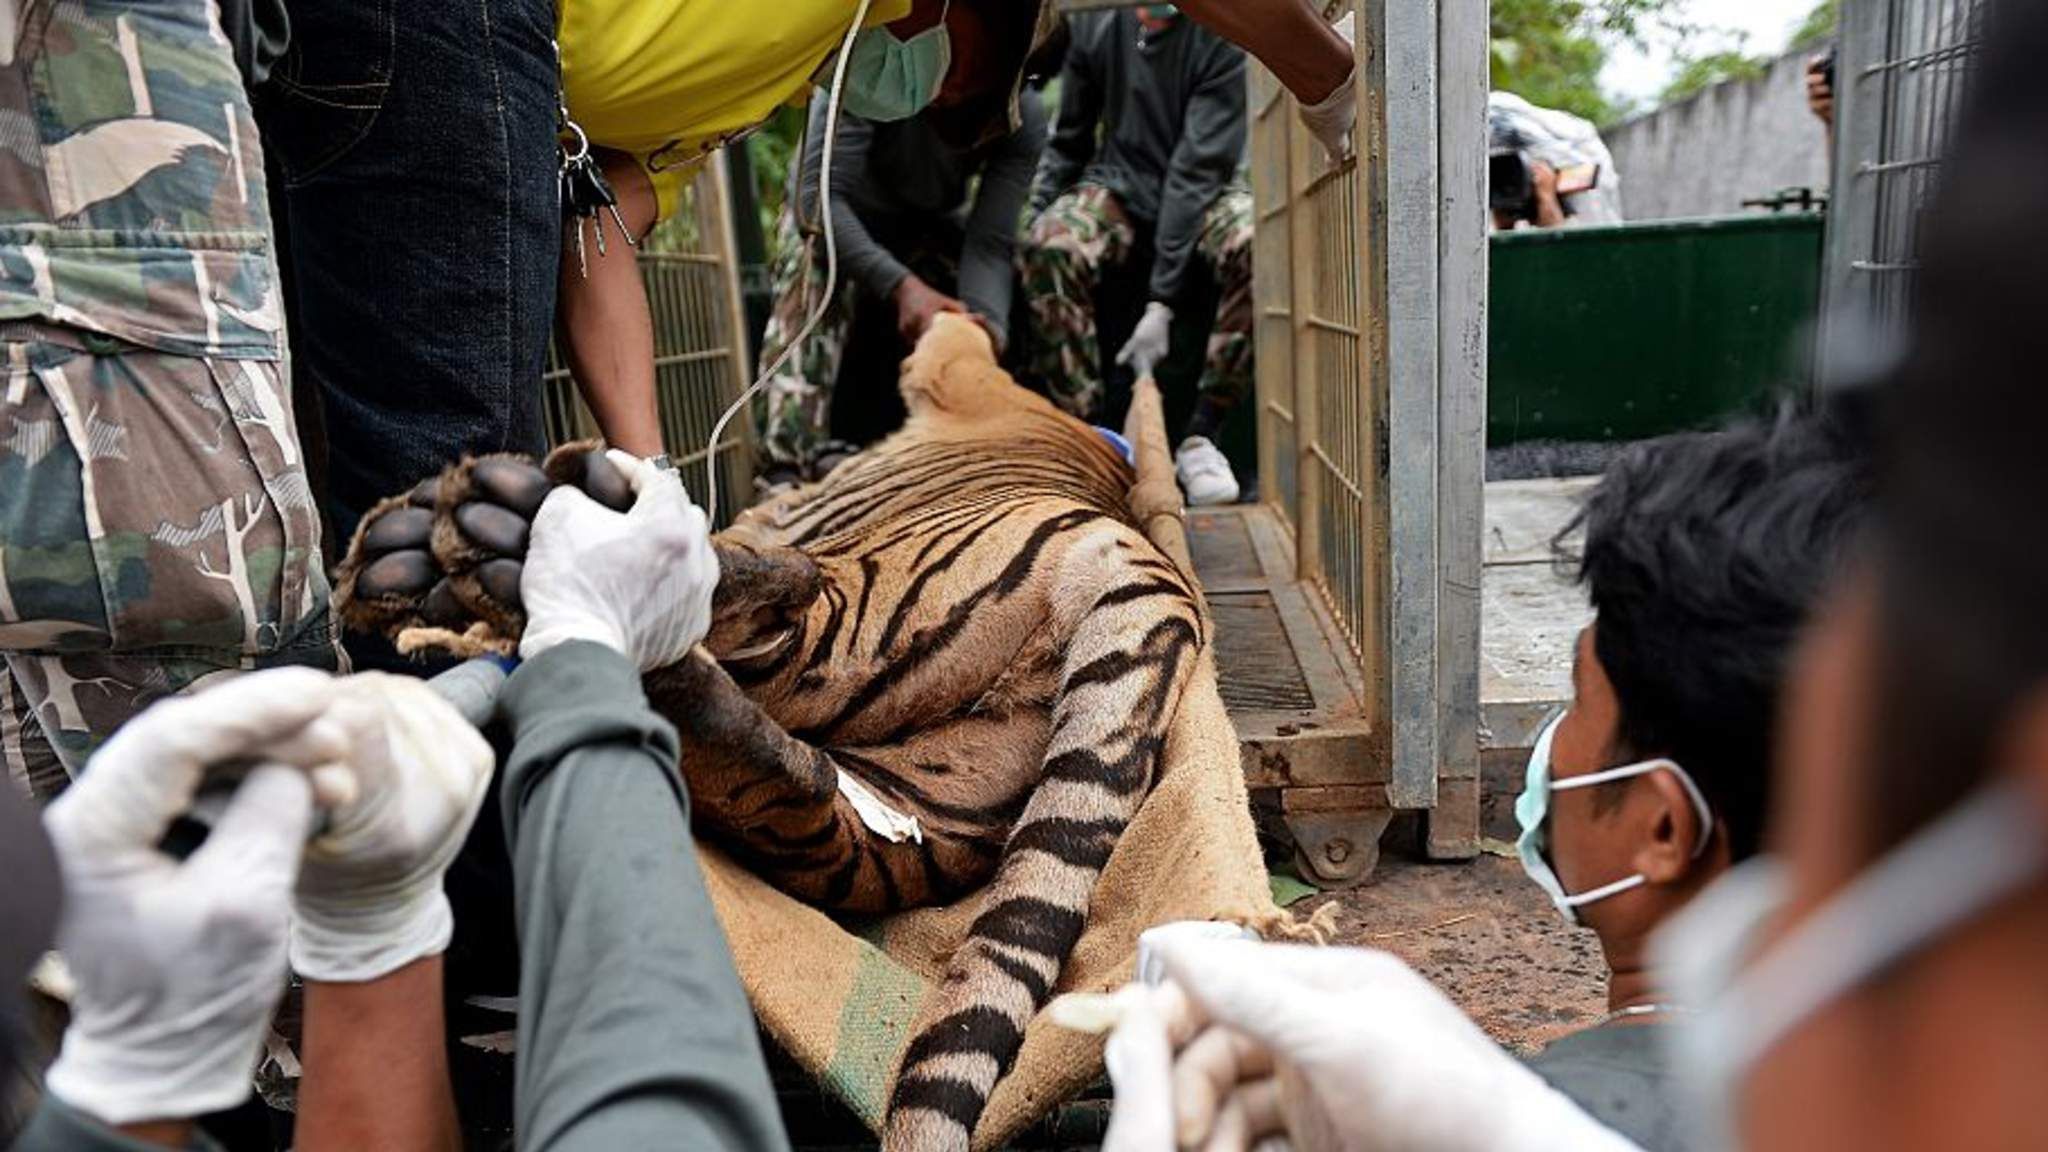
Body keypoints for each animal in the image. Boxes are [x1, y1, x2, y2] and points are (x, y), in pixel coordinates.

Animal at [329, 309, 1204, 1139]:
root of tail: (1157, 581)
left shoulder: (953, 365)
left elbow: (947, 334)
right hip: (914, 812)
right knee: (800, 776)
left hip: (866, 607)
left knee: (777, 597)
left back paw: (510, 529)